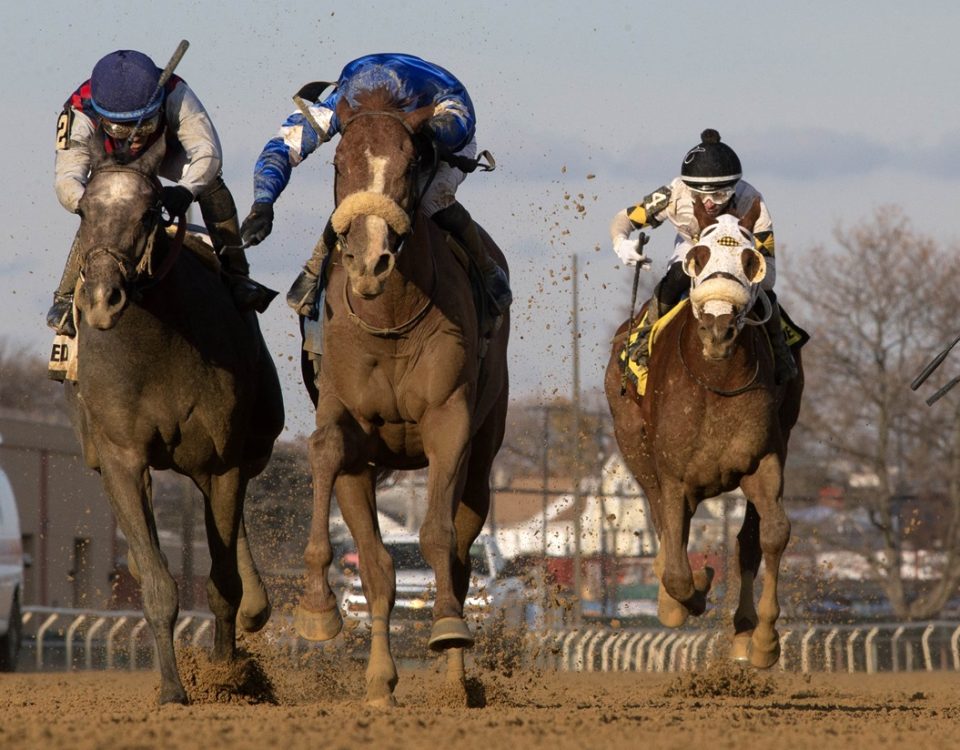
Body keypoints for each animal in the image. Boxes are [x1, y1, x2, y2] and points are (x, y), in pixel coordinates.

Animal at [65, 137, 284, 704]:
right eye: (84, 213)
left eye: (147, 213)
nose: (103, 299)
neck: (157, 342)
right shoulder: (121, 456)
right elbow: (159, 584)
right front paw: (172, 689)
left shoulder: (222, 461)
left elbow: (223, 582)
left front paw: (228, 675)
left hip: (250, 445)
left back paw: (255, 610)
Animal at [292, 85, 510, 708]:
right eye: (339, 164)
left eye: (412, 164)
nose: (370, 261)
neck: (387, 315)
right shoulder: (344, 416)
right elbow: (325, 452)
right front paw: (317, 609)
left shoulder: (449, 418)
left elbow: (438, 538)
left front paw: (448, 632)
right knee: (379, 569)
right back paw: (381, 682)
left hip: (483, 451)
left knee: (459, 556)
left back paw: (456, 678)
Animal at [608, 201, 804, 668]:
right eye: (699, 256)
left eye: (750, 259)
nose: (718, 328)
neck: (715, 379)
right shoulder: (673, 476)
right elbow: (678, 568)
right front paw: (687, 595)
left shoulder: (764, 460)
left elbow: (771, 535)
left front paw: (763, 640)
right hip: (634, 446)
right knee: (664, 533)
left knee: (746, 540)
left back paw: (743, 631)